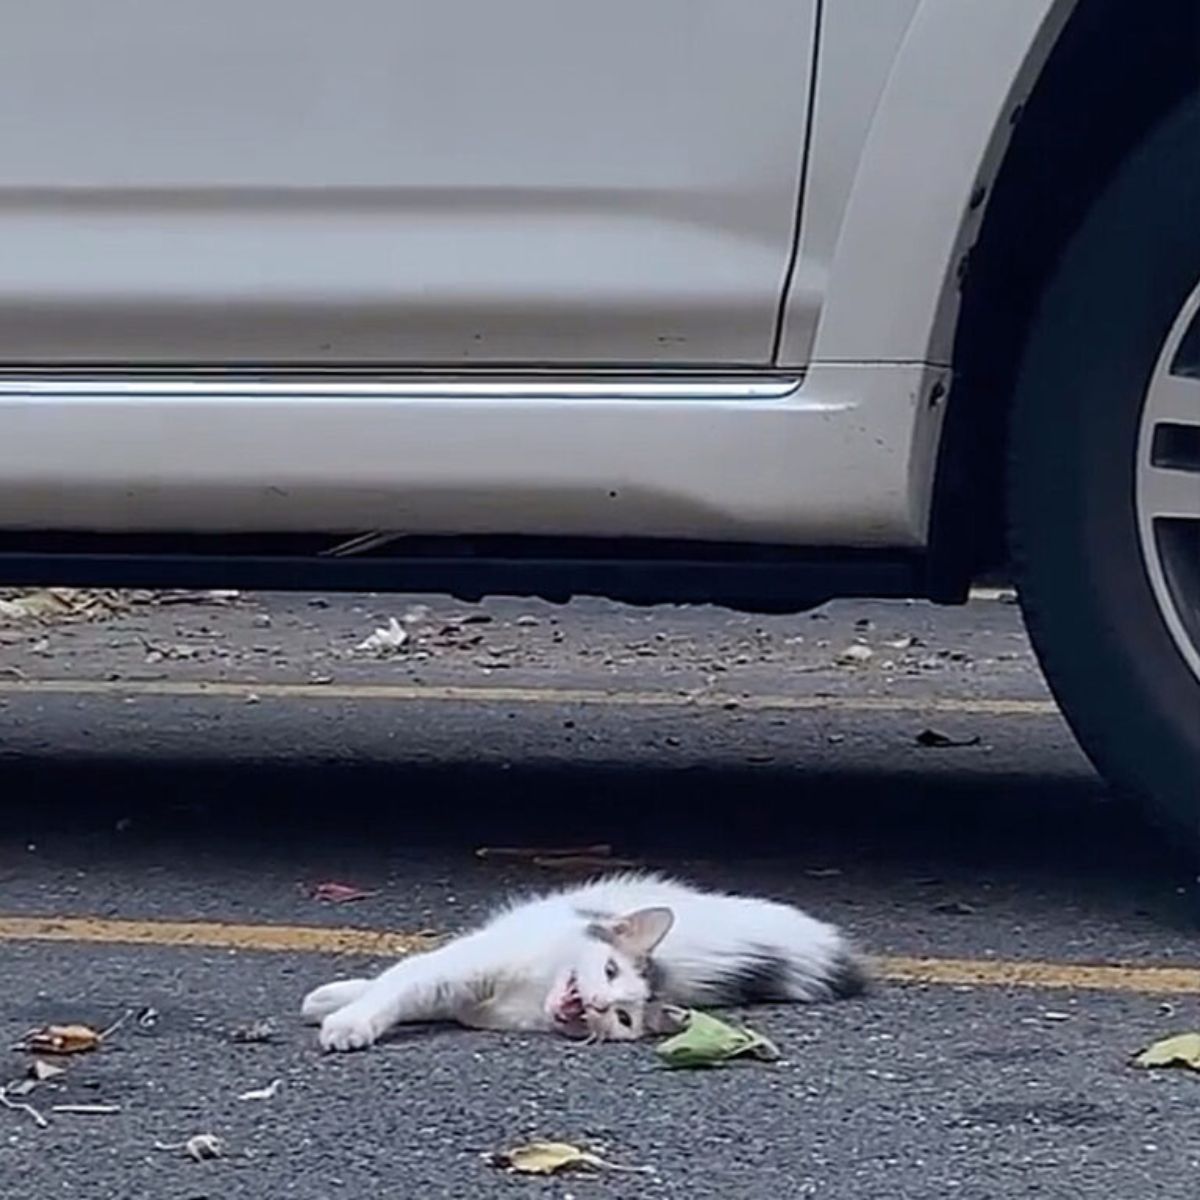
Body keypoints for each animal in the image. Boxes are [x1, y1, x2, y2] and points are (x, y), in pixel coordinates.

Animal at [300, 873, 864, 1051]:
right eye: (610, 971)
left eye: (623, 1017)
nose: (594, 1002)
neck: (530, 990)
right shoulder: (461, 967)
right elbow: (400, 986)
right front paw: (349, 1018)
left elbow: (418, 996)